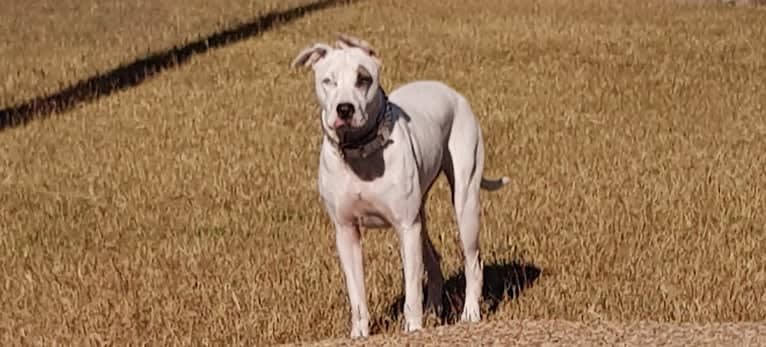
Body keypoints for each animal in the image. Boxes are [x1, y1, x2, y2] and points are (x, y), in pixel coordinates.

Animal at [290, 34, 510, 338]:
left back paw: (470, 313)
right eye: (328, 80)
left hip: (464, 202)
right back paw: (434, 310)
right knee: (433, 260)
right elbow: (357, 295)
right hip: (421, 216)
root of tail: (451, 92)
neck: (361, 152)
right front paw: (359, 334)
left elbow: (411, 291)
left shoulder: (406, 227)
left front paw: (413, 328)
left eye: (363, 79)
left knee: (473, 261)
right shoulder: (346, 231)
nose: (344, 108)